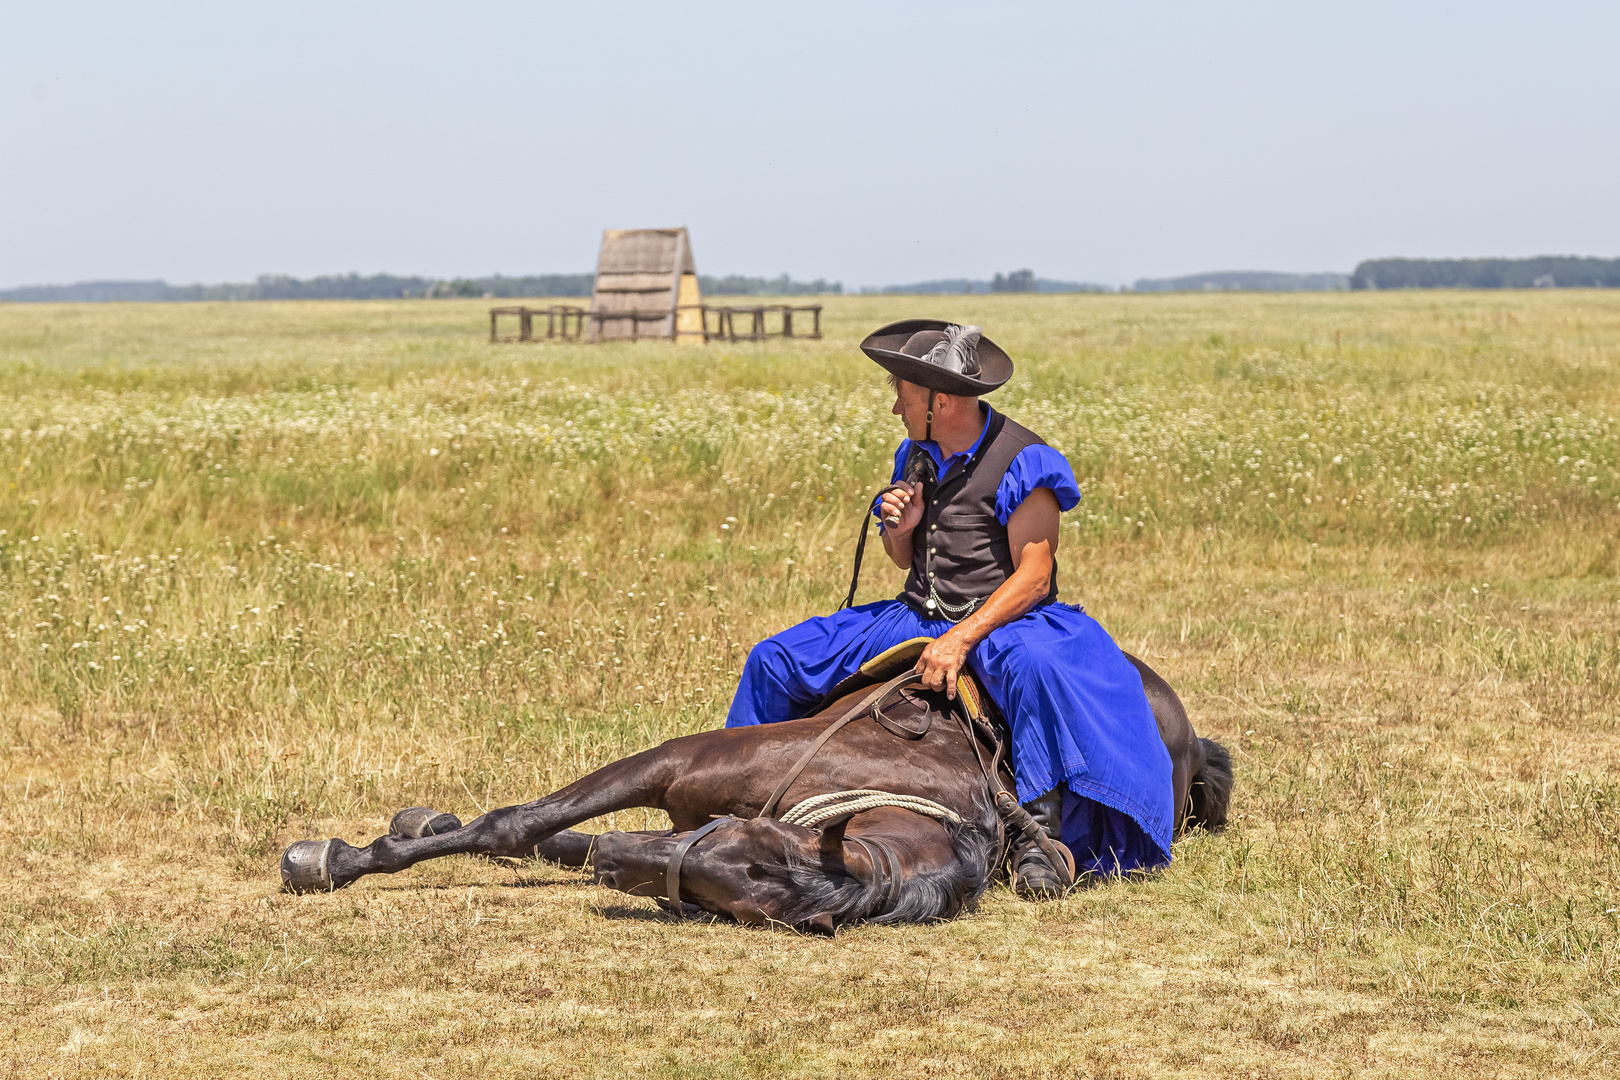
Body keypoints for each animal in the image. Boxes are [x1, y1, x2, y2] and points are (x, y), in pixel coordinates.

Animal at [285, 641, 1231, 939]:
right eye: (754, 848)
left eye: (746, 892)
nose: (633, 864)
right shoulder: (676, 763)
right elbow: (521, 820)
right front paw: (336, 856)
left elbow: (538, 829)